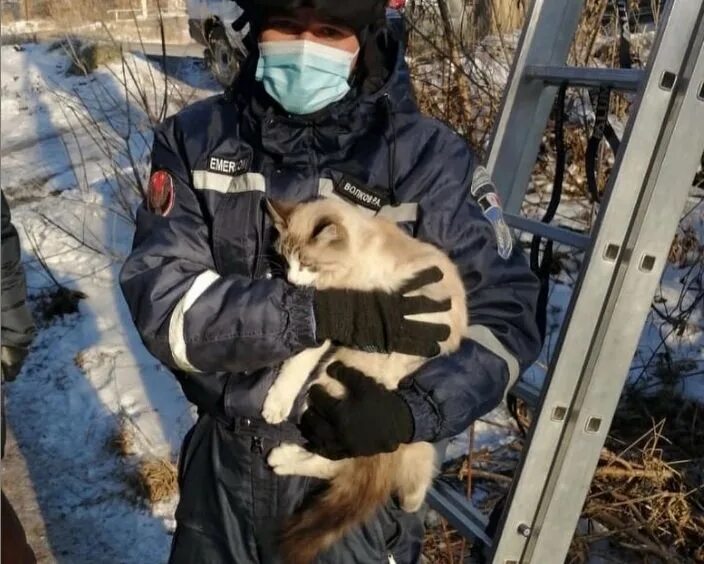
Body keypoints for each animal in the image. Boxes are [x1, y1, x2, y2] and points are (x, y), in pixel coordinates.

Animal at [262, 198, 464, 564]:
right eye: (285, 257)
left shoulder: (330, 323)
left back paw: (284, 458)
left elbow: (296, 364)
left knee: (339, 460)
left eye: (308, 263)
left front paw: (276, 403)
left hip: (339, 377)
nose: (294, 281)